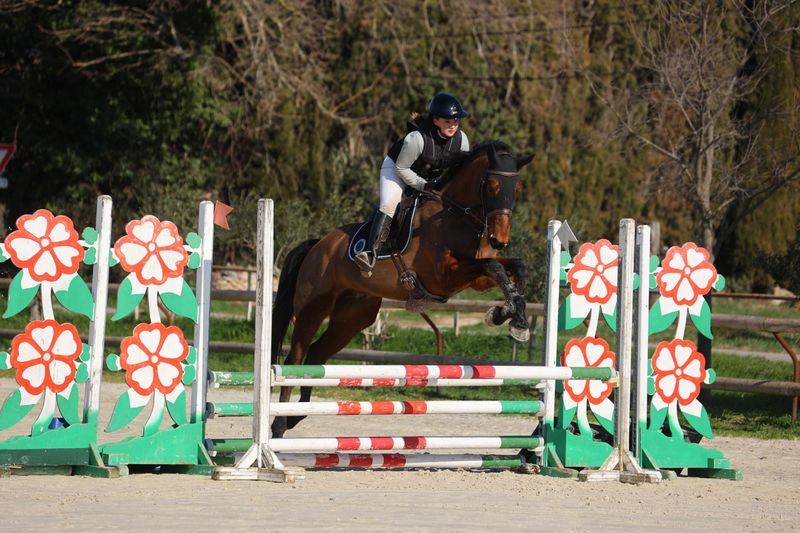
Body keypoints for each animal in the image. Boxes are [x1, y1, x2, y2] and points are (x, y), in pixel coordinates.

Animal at [270, 141, 534, 437]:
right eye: (492, 186)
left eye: (518, 189)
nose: (499, 240)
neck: (454, 215)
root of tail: (317, 244)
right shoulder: (443, 276)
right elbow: (494, 265)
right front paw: (508, 317)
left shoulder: (474, 280)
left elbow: (514, 268)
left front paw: (511, 318)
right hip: (312, 309)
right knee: (295, 358)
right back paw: (279, 425)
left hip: (353, 318)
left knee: (316, 353)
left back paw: (297, 415)